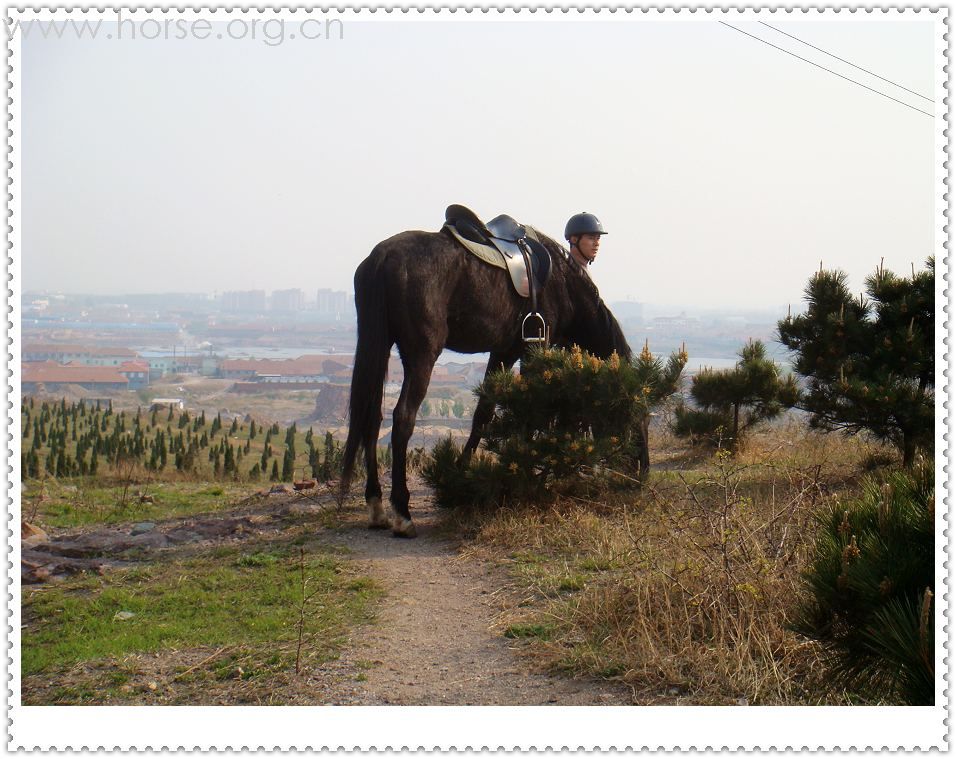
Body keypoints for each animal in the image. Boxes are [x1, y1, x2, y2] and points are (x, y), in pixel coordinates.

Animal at [340, 223, 632, 536]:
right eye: (623, 410)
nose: (633, 468)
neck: (562, 282)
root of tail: (383, 256)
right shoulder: (533, 348)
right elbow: (528, 413)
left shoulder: (503, 352)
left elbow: (483, 413)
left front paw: (460, 474)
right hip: (422, 356)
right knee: (403, 418)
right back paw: (402, 513)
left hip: (379, 346)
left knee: (372, 417)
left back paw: (376, 505)